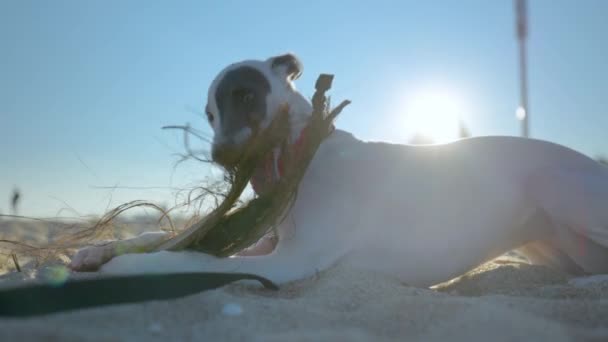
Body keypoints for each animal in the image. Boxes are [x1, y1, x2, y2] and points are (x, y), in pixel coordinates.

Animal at [71, 53, 608, 288]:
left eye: (245, 95)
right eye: (208, 114)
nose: (222, 158)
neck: (305, 157)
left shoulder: (294, 260)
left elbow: (194, 261)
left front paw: (125, 267)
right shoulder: (271, 241)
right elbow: (170, 240)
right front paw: (98, 251)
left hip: (554, 184)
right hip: (549, 243)